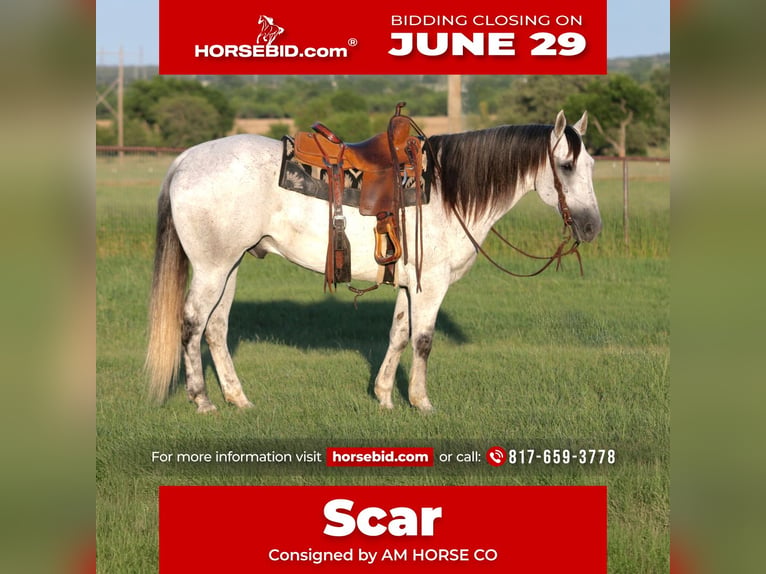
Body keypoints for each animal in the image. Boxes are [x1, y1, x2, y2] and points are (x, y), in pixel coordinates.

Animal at [145, 110, 602, 413]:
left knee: (216, 328)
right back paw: (202, 400)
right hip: (212, 268)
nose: (592, 226)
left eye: (592, 164)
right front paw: (421, 402)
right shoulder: (431, 285)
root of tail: (185, 160)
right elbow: (422, 340)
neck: (448, 192)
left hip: (231, 265)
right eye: (565, 165)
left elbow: (398, 335)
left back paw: (238, 399)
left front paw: (384, 397)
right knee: (192, 323)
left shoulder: (409, 285)